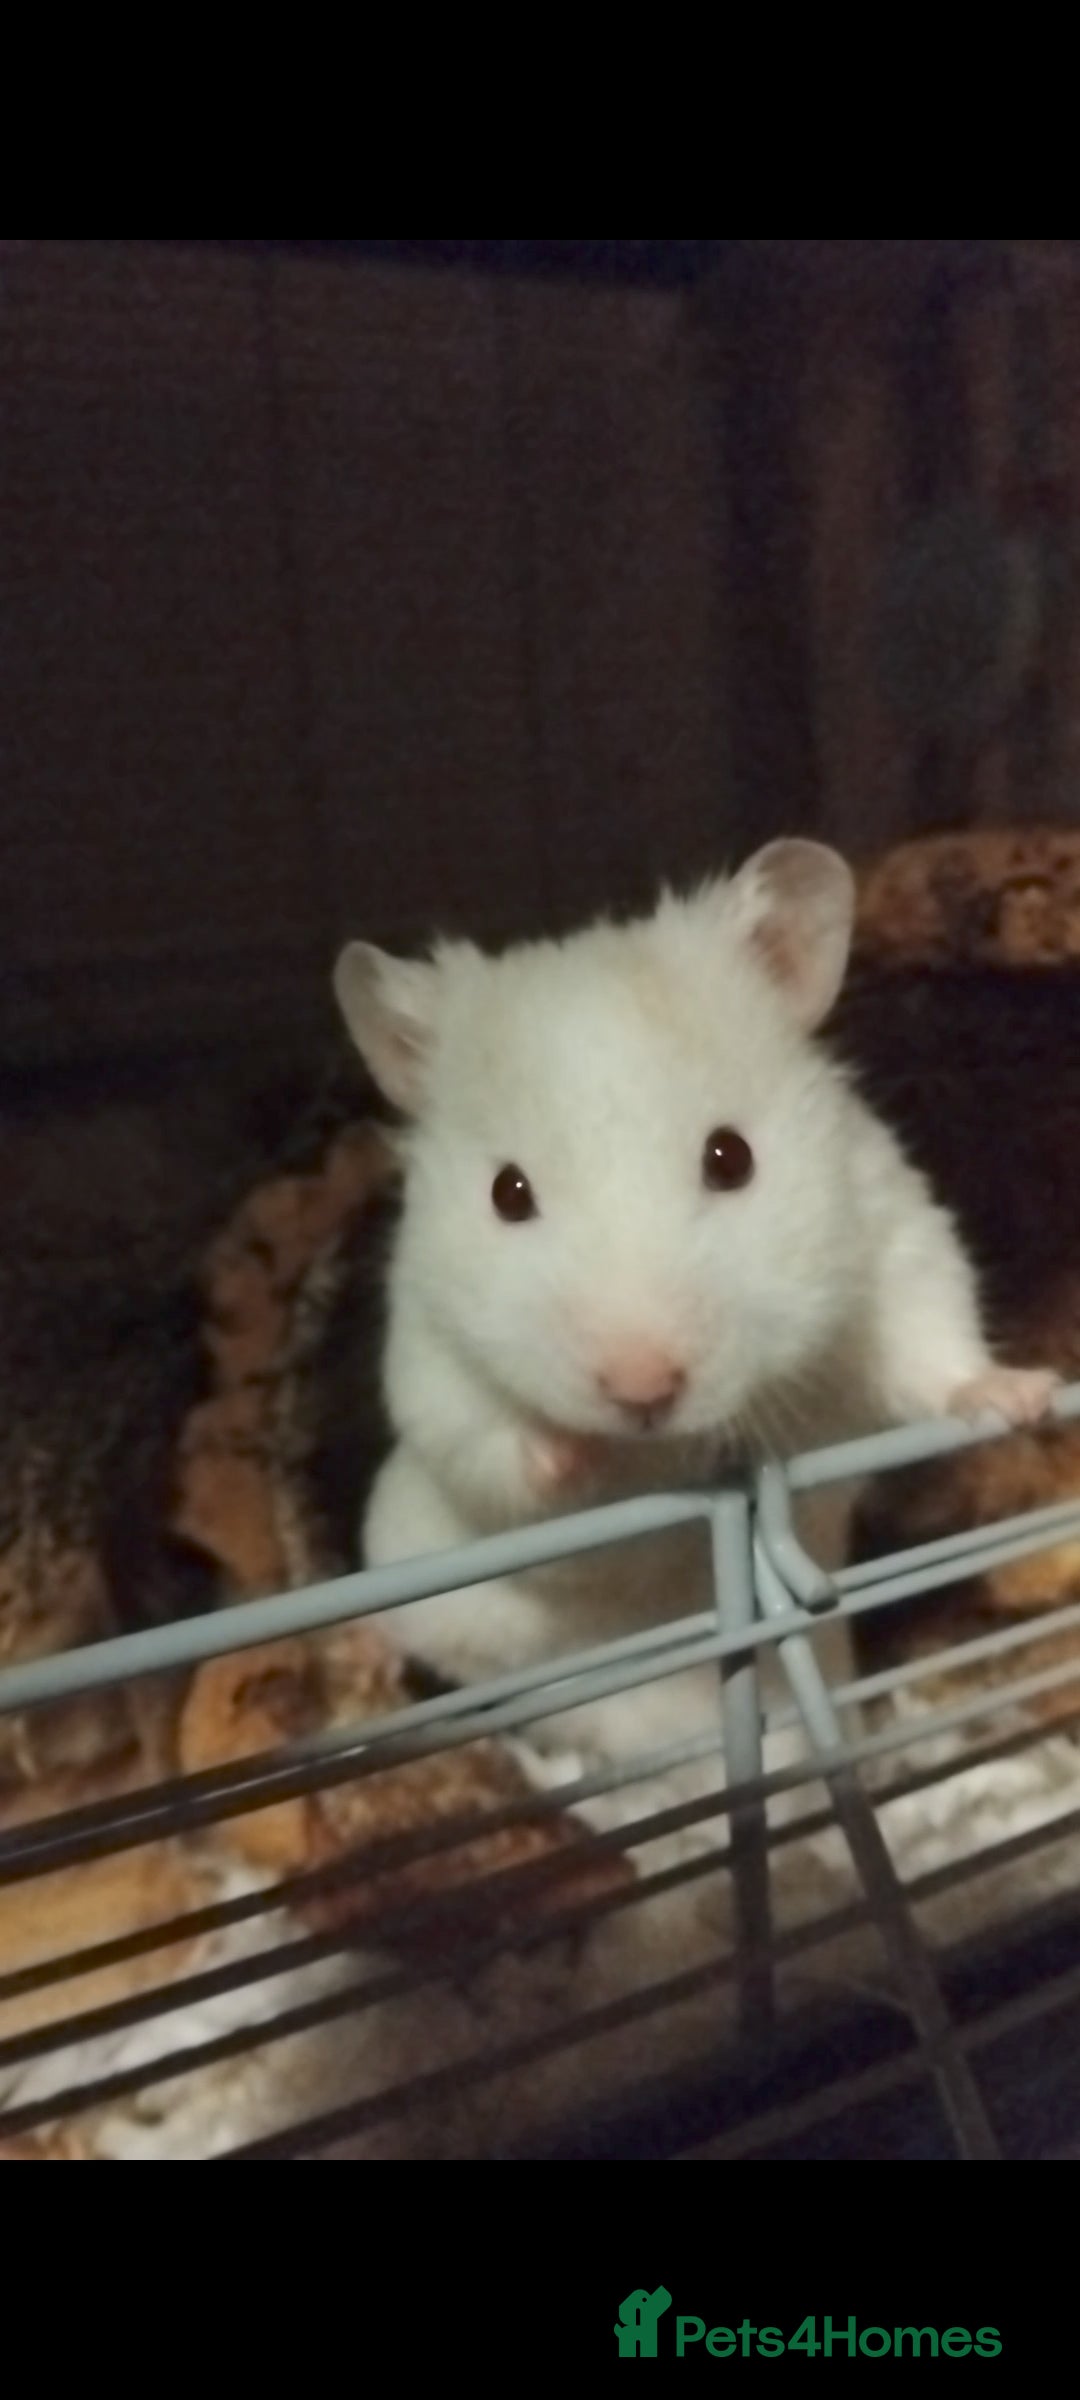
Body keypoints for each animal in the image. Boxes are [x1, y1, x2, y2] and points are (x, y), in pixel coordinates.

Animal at [333, 840, 1058, 1784]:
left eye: (731, 1156)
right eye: (507, 1193)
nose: (642, 1391)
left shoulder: (892, 1237)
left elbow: (934, 1345)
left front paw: (1021, 1396)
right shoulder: (424, 1349)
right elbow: (483, 1437)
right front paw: (574, 1455)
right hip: (413, 1559)